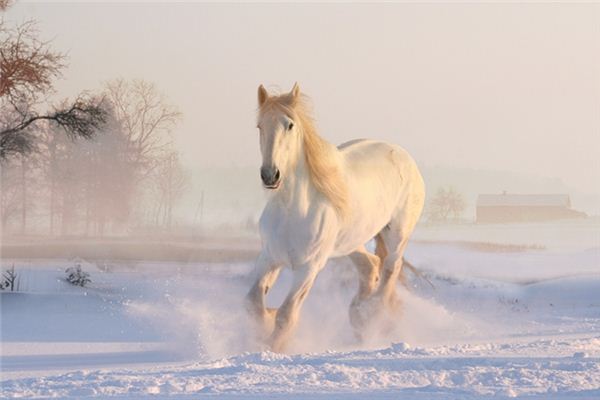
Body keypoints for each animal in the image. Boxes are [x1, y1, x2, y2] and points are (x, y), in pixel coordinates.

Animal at [246, 83, 424, 352]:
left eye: (290, 125)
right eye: (260, 126)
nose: (270, 175)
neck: (292, 210)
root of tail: (404, 156)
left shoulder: (308, 268)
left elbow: (286, 315)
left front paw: (274, 346)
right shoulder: (269, 257)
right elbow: (254, 303)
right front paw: (266, 324)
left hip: (397, 234)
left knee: (391, 269)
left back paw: (372, 315)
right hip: (350, 242)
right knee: (370, 265)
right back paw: (359, 316)